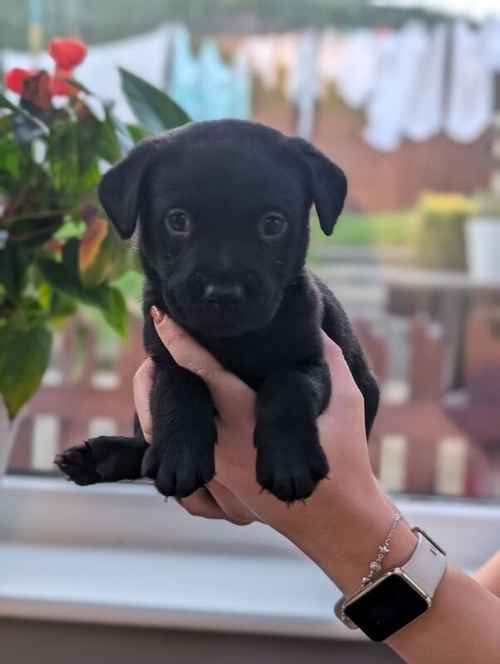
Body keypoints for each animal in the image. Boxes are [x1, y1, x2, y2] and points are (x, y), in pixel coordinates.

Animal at [55, 120, 378, 504]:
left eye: (273, 224)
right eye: (177, 221)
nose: (223, 293)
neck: (231, 341)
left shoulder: (310, 360)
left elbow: (289, 387)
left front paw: (290, 462)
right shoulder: (163, 355)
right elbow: (179, 383)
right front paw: (180, 455)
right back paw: (99, 459)